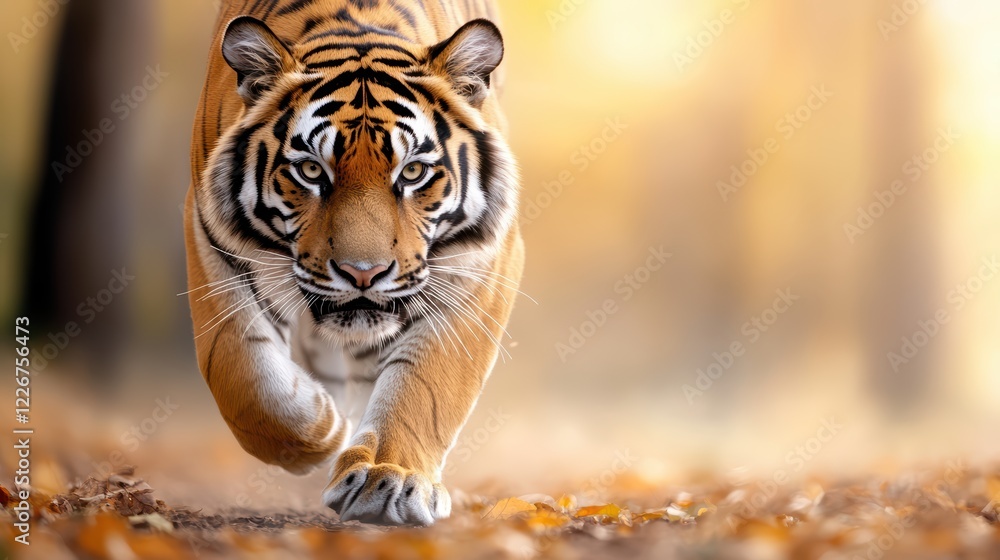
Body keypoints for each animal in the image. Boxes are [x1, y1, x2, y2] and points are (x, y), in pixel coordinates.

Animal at [183, 0, 524, 525]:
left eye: (413, 172)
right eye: (310, 170)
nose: (363, 273)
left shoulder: (482, 261)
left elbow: (425, 383)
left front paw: (389, 476)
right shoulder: (211, 237)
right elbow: (243, 373)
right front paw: (319, 431)